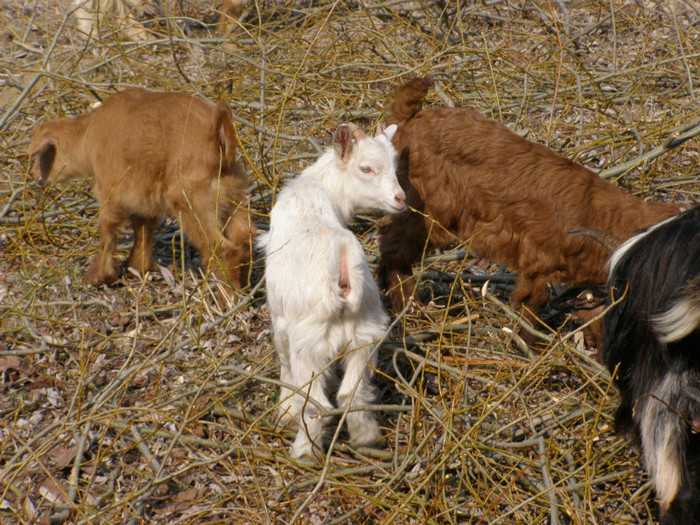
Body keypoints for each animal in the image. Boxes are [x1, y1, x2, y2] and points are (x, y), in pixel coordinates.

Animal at [30, 88, 256, 304]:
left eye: (43, 155)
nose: (34, 176)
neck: (87, 135)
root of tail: (218, 142)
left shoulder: (109, 190)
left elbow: (107, 232)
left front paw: (97, 277)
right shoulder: (143, 196)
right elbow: (143, 231)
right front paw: (138, 267)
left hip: (192, 202)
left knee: (222, 249)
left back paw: (228, 300)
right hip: (233, 196)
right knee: (244, 239)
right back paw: (244, 288)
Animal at [380, 74, 680, 344]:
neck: (599, 214)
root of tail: (412, 116)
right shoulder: (537, 257)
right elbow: (533, 303)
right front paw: (527, 347)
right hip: (428, 211)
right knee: (395, 246)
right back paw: (409, 307)